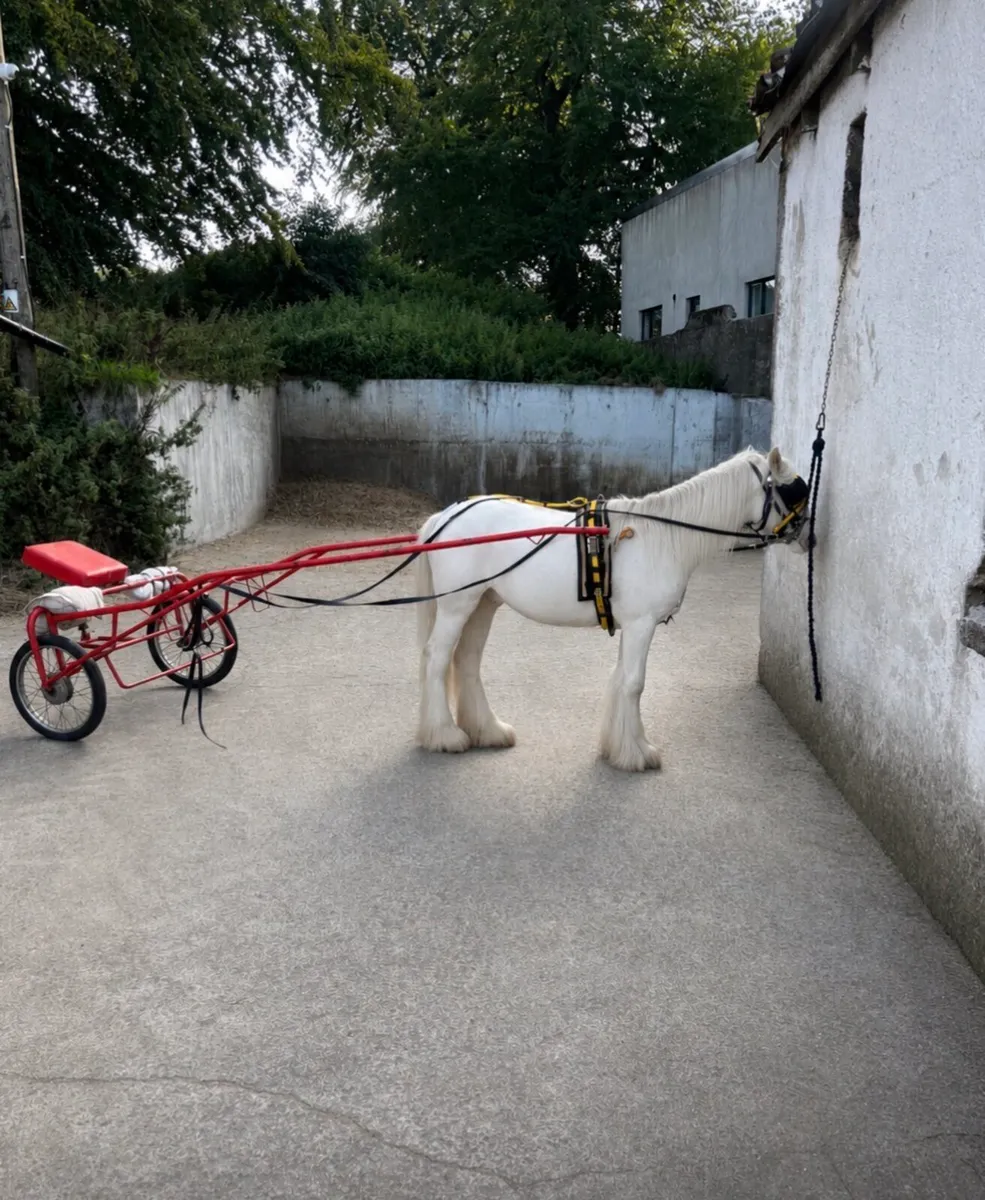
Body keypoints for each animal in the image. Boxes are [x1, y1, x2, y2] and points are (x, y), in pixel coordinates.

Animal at [413, 447, 811, 772]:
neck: (661, 538)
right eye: (792, 491)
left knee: (466, 660)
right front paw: (636, 754)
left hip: (484, 602)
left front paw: (618, 746)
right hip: (457, 605)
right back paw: (445, 735)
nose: (809, 538)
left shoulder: (633, 627)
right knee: (437, 658)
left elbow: (621, 679)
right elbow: (634, 684)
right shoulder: (641, 625)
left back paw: (488, 730)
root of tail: (444, 517)